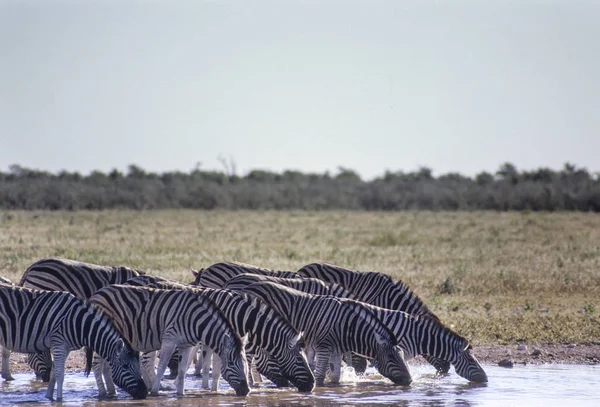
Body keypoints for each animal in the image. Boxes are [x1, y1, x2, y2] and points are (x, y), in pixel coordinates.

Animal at [0, 284, 145, 402]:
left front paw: (49, 398)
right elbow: (60, 375)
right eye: (125, 366)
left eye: (138, 365)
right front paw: (59, 400)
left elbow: (54, 374)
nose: (143, 393)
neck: (79, 323)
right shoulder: (58, 343)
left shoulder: (65, 347)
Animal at [88, 286, 250, 396]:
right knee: (97, 364)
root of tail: (97, 292)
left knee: (106, 365)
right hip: (101, 333)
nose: (246, 391)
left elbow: (183, 370)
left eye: (245, 363)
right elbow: (161, 367)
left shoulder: (186, 345)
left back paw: (112, 392)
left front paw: (180, 394)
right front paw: (155, 392)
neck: (195, 319)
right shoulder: (169, 340)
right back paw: (103, 393)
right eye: (231, 363)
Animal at [125, 276, 316, 394]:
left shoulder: (215, 341)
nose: (312, 386)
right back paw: (155, 387)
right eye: (299, 359)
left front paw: (209, 389)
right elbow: (219, 367)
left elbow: (209, 368)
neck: (238, 315)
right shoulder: (225, 340)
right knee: (146, 362)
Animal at [239, 282, 412, 388]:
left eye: (403, 355)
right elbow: (320, 374)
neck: (347, 326)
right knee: (249, 358)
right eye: (390, 358)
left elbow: (335, 376)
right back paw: (253, 385)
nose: (410, 381)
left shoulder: (336, 350)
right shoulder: (324, 346)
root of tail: (247, 288)